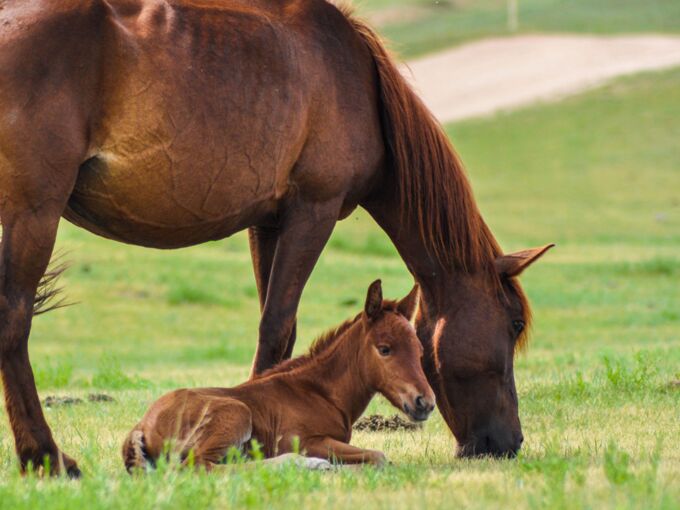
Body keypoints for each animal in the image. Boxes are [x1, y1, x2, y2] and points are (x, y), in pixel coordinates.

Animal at [122, 280, 432, 472]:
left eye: (419, 350)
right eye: (384, 349)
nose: (425, 403)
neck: (320, 393)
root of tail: (141, 425)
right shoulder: (304, 440)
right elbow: (378, 457)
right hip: (236, 414)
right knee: (200, 467)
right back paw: (304, 464)